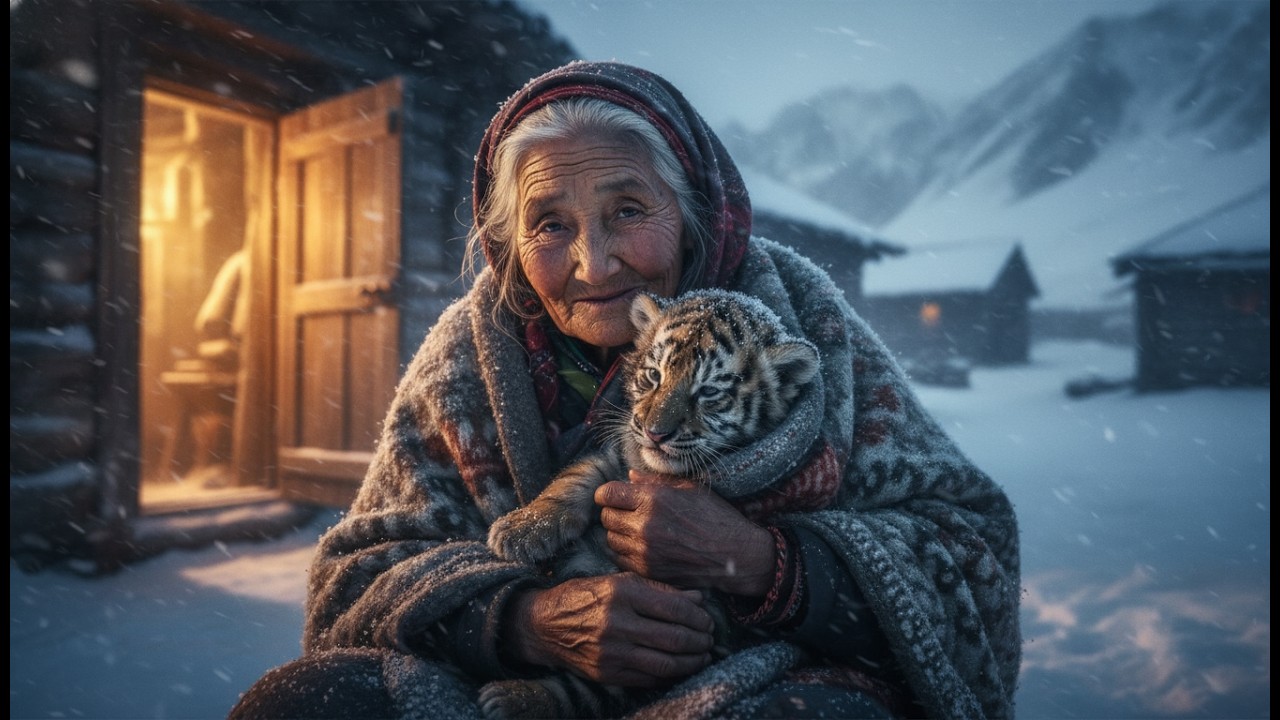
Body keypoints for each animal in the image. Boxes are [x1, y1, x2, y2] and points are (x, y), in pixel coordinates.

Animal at [480, 288, 822, 720]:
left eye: (709, 392)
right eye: (654, 376)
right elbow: (575, 481)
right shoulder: (617, 457)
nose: (654, 433)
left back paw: (510, 698)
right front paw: (520, 529)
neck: (657, 470)